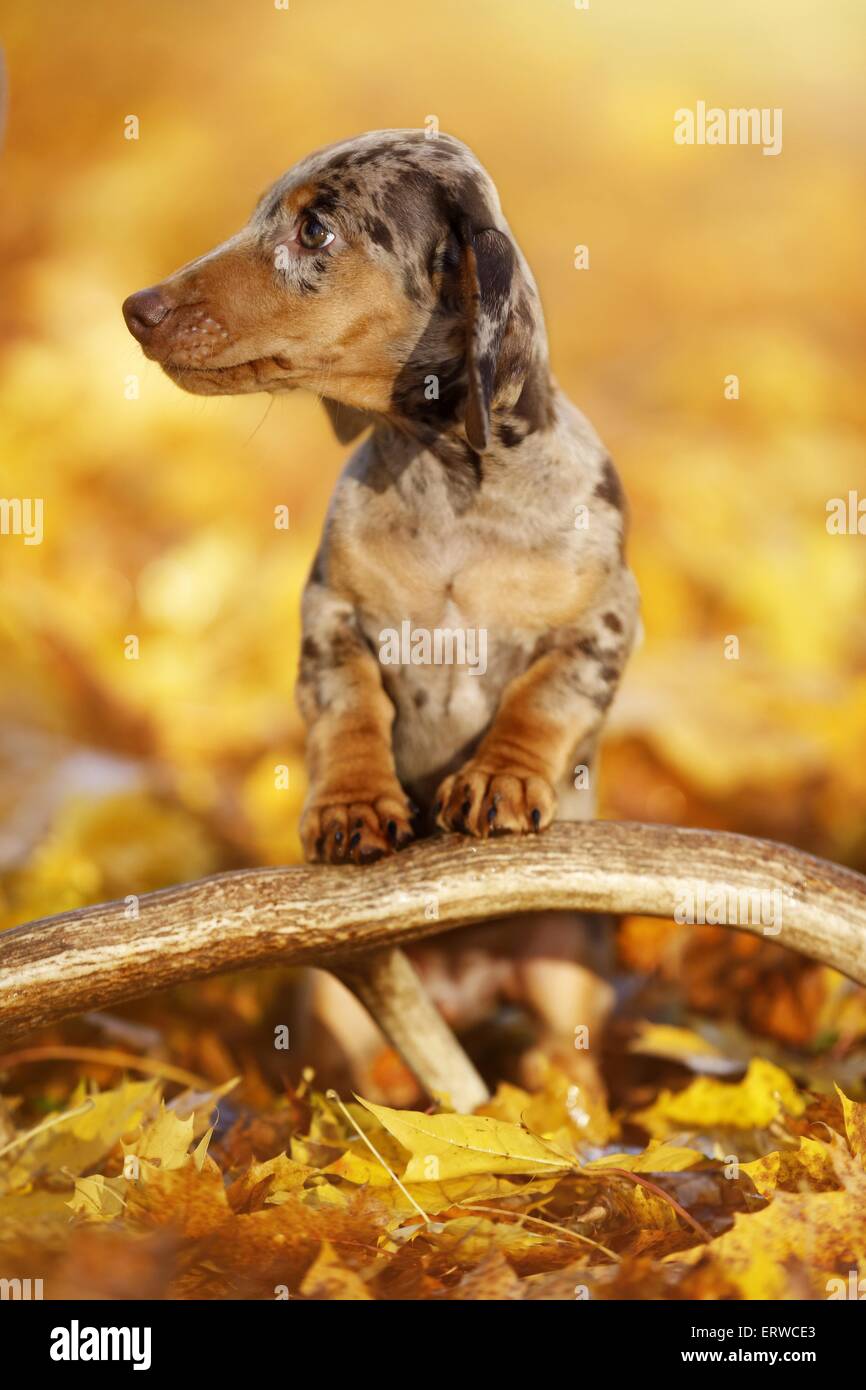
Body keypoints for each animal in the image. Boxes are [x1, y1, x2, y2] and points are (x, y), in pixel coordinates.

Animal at [123, 125, 636, 1089]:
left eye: (315, 228)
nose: (138, 308)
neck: (449, 486)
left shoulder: (606, 624)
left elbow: (543, 697)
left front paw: (500, 777)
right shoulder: (330, 617)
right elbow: (350, 709)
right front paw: (352, 805)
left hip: (562, 961)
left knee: (565, 1065)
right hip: (344, 1006)